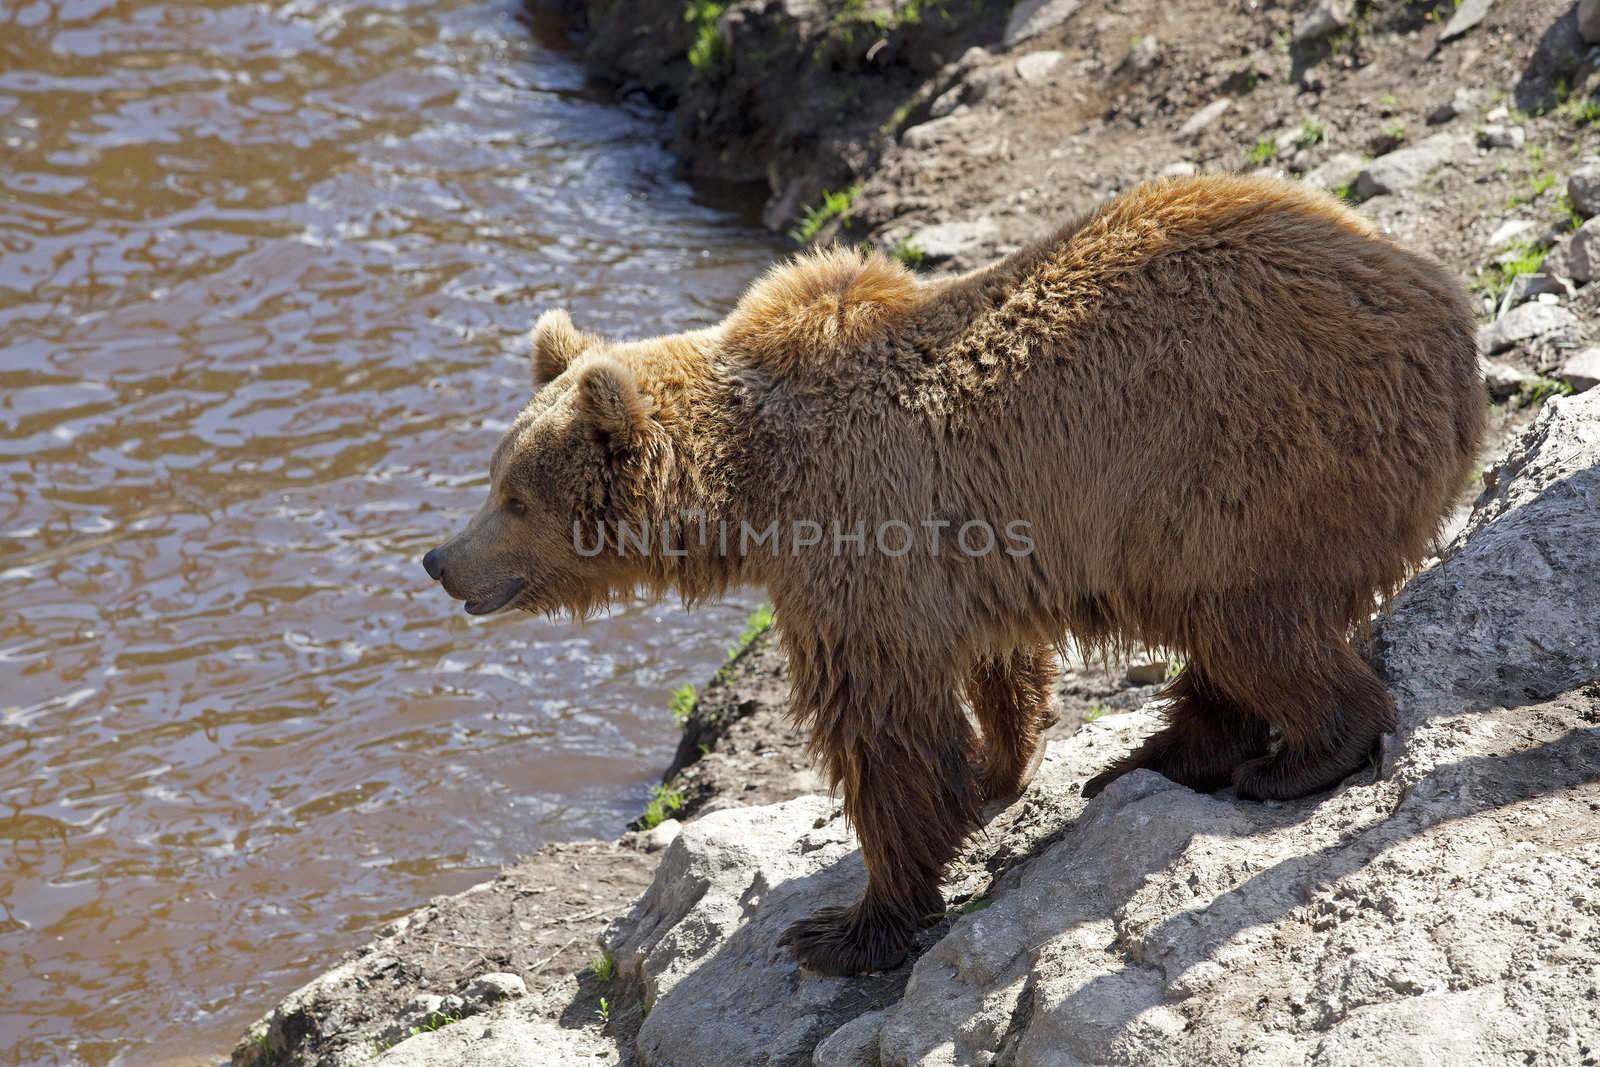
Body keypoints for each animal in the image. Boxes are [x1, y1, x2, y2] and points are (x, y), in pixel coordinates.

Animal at [425, 175, 1484, 979]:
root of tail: (1450, 312)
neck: (753, 480)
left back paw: (1295, 754)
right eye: (495, 475)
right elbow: (993, 665)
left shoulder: (858, 530)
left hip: (1255, 460)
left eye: (513, 497)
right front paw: (995, 768)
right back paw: (1154, 756)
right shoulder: (966, 544)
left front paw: (847, 925)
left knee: (1250, 622)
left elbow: (883, 729)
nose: (438, 560)